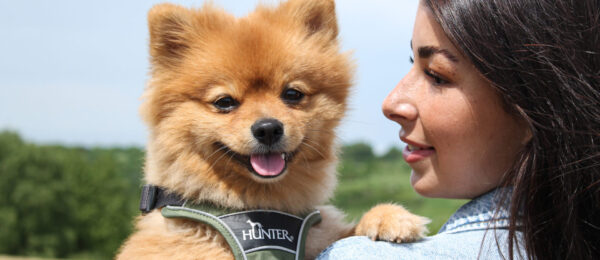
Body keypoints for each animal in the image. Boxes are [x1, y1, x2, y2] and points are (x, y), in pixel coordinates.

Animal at [116, 1, 426, 258]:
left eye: (292, 94)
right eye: (225, 102)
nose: (267, 129)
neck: (261, 210)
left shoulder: (316, 238)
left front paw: (387, 217)